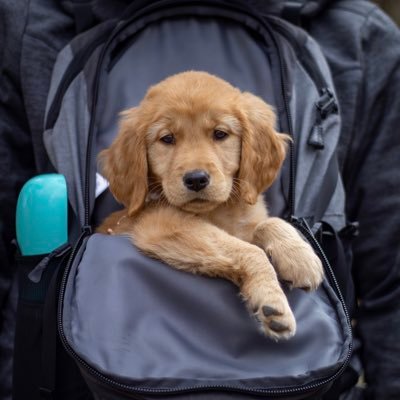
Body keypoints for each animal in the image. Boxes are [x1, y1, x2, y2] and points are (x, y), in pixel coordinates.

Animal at [97, 70, 324, 340]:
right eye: (167, 138)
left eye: (220, 134)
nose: (196, 179)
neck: (217, 212)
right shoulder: (163, 224)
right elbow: (249, 250)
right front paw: (272, 301)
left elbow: (270, 223)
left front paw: (300, 257)